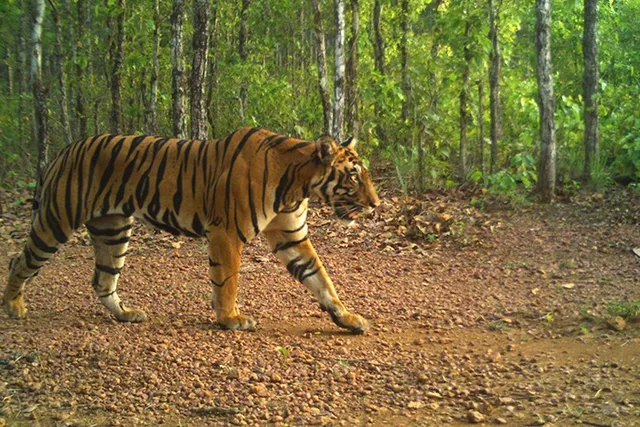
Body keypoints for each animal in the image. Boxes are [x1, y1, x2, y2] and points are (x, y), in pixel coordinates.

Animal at [3, 127, 379, 333]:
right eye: (353, 175)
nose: (377, 205)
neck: (297, 185)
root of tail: (63, 150)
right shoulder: (227, 232)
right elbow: (227, 281)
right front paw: (231, 319)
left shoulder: (293, 238)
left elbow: (321, 279)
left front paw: (348, 318)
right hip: (57, 219)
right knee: (19, 261)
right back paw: (14, 307)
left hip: (113, 230)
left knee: (102, 280)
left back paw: (126, 315)